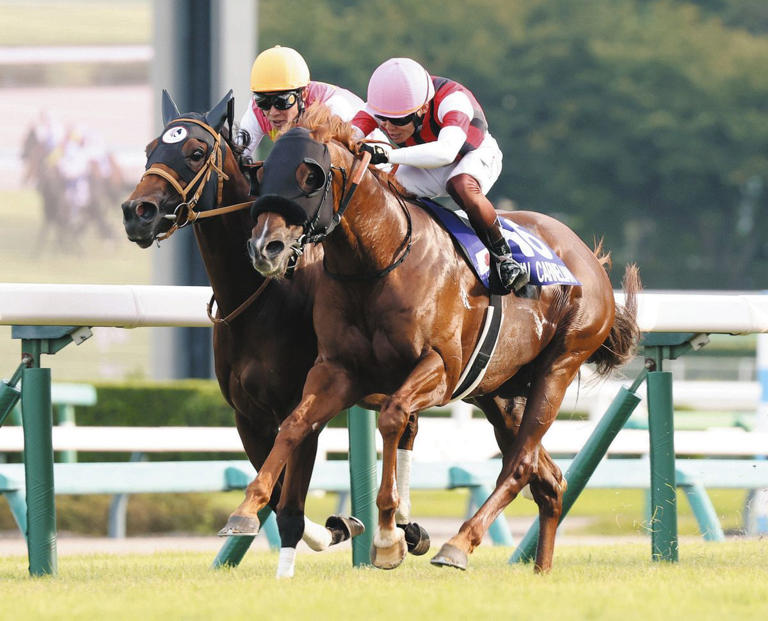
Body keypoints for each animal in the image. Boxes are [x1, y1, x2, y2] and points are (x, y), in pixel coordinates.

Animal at [121, 91, 371, 577]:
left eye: (195, 152)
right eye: (148, 149)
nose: (137, 213)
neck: (263, 295)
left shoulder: (302, 406)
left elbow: (290, 507)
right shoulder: (247, 415)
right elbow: (275, 494)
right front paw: (337, 526)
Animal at [235, 105, 640, 573]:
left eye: (310, 176)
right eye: (265, 175)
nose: (265, 247)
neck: (377, 262)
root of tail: (588, 258)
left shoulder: (440, 369)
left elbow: (393, 416)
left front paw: (389, 536)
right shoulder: (337, 370)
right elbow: (294, 424)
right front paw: (245, 509)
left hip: (559, 365)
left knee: (519, 464)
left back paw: (459, 544)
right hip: (500, 393)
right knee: (549, 480)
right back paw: (541, 569)